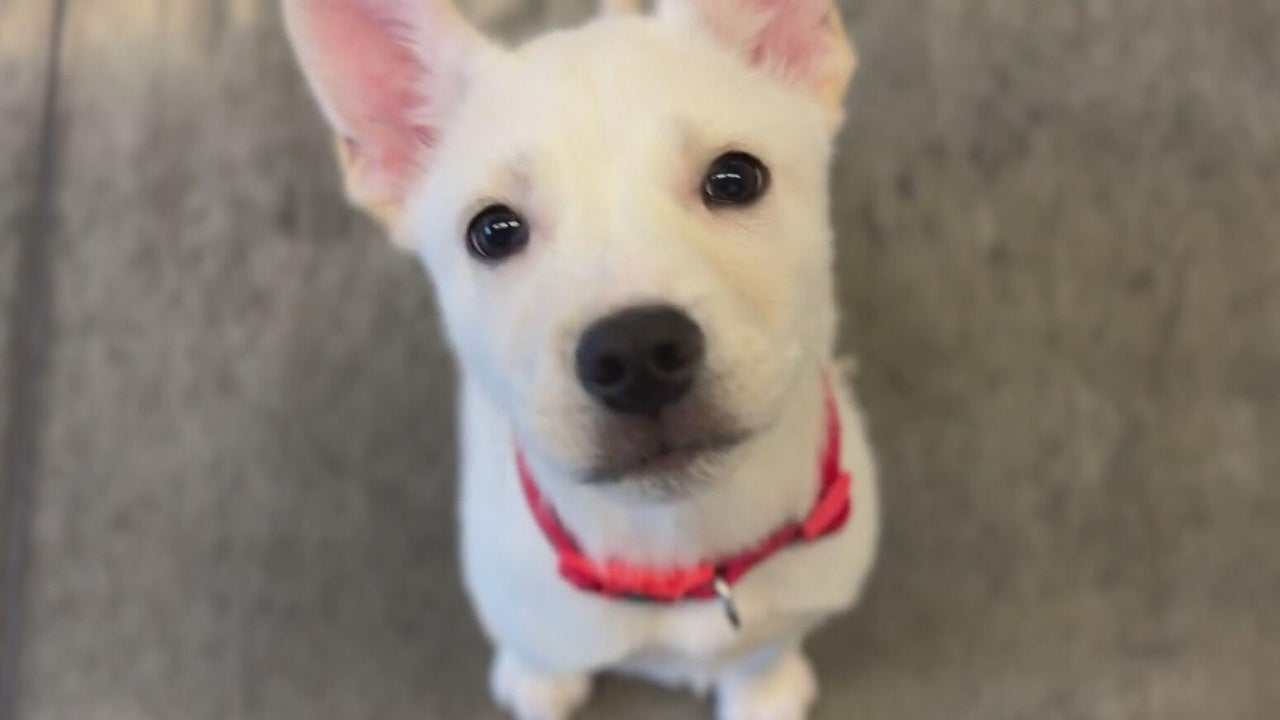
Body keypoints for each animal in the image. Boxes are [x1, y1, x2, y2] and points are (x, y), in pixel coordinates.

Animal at [282, 1, 879, 718]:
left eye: (735, 178)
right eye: (493, 232)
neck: (680, 543)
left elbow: (763, 651)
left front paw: (762, 689)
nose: (637, 352)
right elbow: (541, 652)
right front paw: (540, 682)